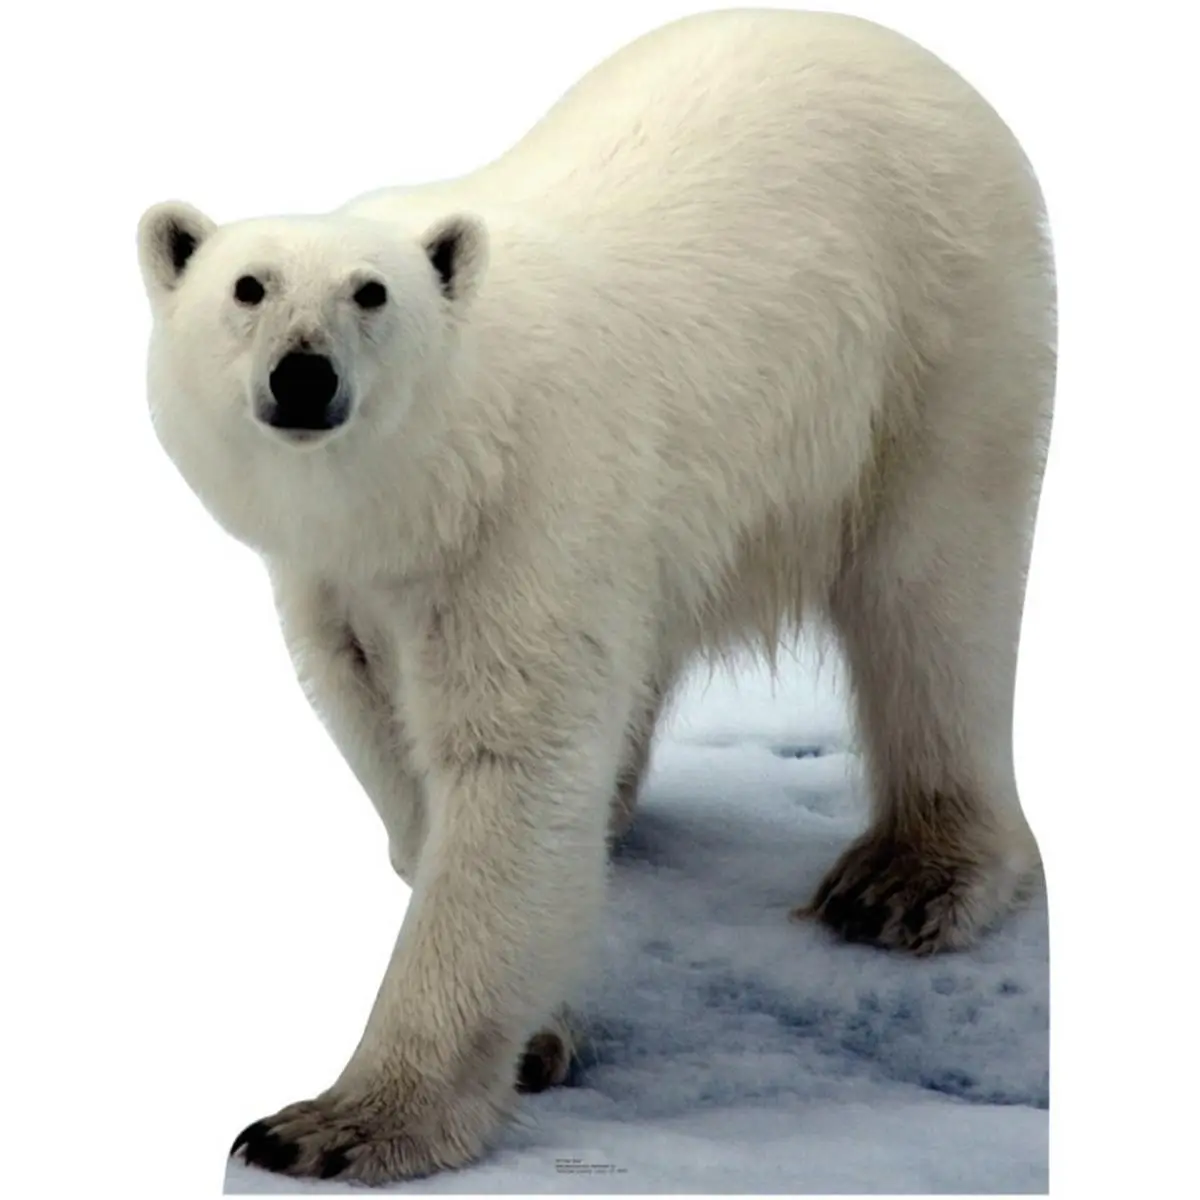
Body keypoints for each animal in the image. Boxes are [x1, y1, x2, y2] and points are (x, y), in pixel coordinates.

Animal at [136, 7, 1055, 1185]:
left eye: (370, 293)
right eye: (247, 287)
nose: (304, 376)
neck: (431, 487)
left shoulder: (529, 511)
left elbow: (512, 769)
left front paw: (335, 1124)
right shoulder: (337, 582)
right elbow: (390, 737)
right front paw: (530, 1023)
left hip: (941, 333)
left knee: (932, 597)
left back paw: (906, 879)